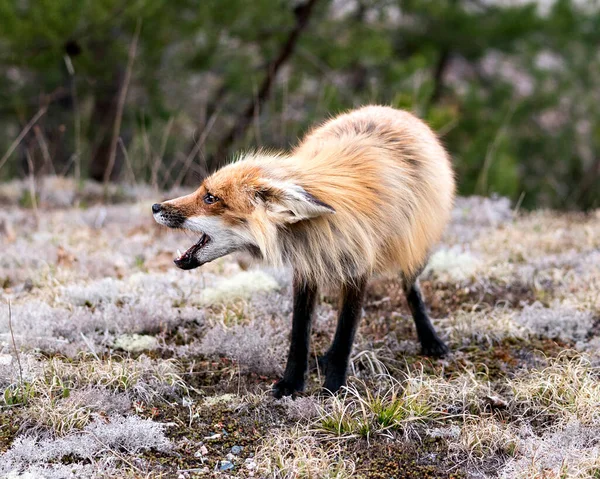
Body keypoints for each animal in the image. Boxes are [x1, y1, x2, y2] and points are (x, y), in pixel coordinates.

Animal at [152, 105, 452, 398]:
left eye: (210, 198)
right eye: (202, 191)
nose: (155, 206)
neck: (318, 232)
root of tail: (393, 110)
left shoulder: (358, 269)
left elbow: (345, 334)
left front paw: (334, 387)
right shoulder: (306, 268)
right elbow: (300, 333)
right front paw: (292, 383)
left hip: (416, 248)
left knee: (411, 288)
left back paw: (430, 339)